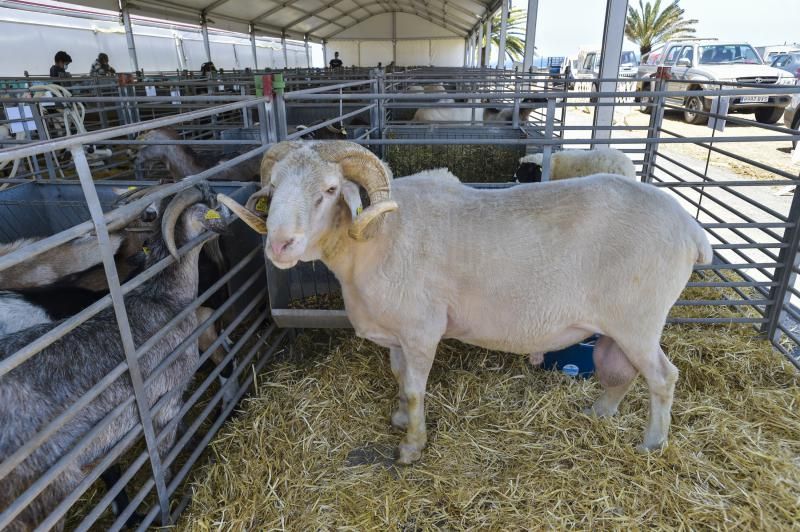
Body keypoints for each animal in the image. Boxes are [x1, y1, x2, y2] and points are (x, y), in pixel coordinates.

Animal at [219, 141, 712, 466]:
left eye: (328, 190)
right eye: (273, 187)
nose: (280, 245)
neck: (379, 238)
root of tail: (692, 229)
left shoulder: (422, 329)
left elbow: (416, 389)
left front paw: (411, 447)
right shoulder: (397, 334)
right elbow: (399, 379)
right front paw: (400, 418)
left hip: (640, 320)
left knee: (663, 377)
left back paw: (652, 444)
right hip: (622, 326)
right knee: (622, 371)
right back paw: (600, 412)